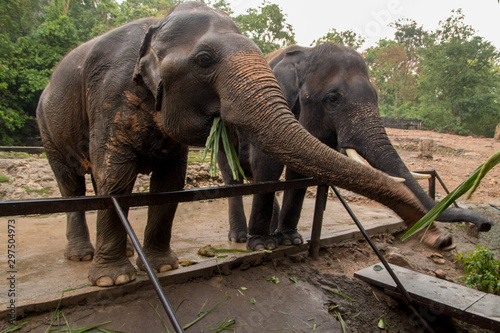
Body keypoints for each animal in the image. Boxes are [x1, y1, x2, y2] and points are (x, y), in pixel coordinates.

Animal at [36, 2, 446, 286]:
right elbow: (118, 178)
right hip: (46, 127)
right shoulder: (110, 96)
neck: (157, 26)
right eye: (333, 99)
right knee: (72, 183)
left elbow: (172, 183)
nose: (442, 240)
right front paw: (116, 279)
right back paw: (83, 256)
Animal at [217, 44, 490, 250]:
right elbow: (267, 166)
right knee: (233, 172)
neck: (306, 52)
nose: (447, 240)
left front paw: (291, 240)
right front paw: (262, 245)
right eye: (332, 99)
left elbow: (299, 172)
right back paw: (240, 237)